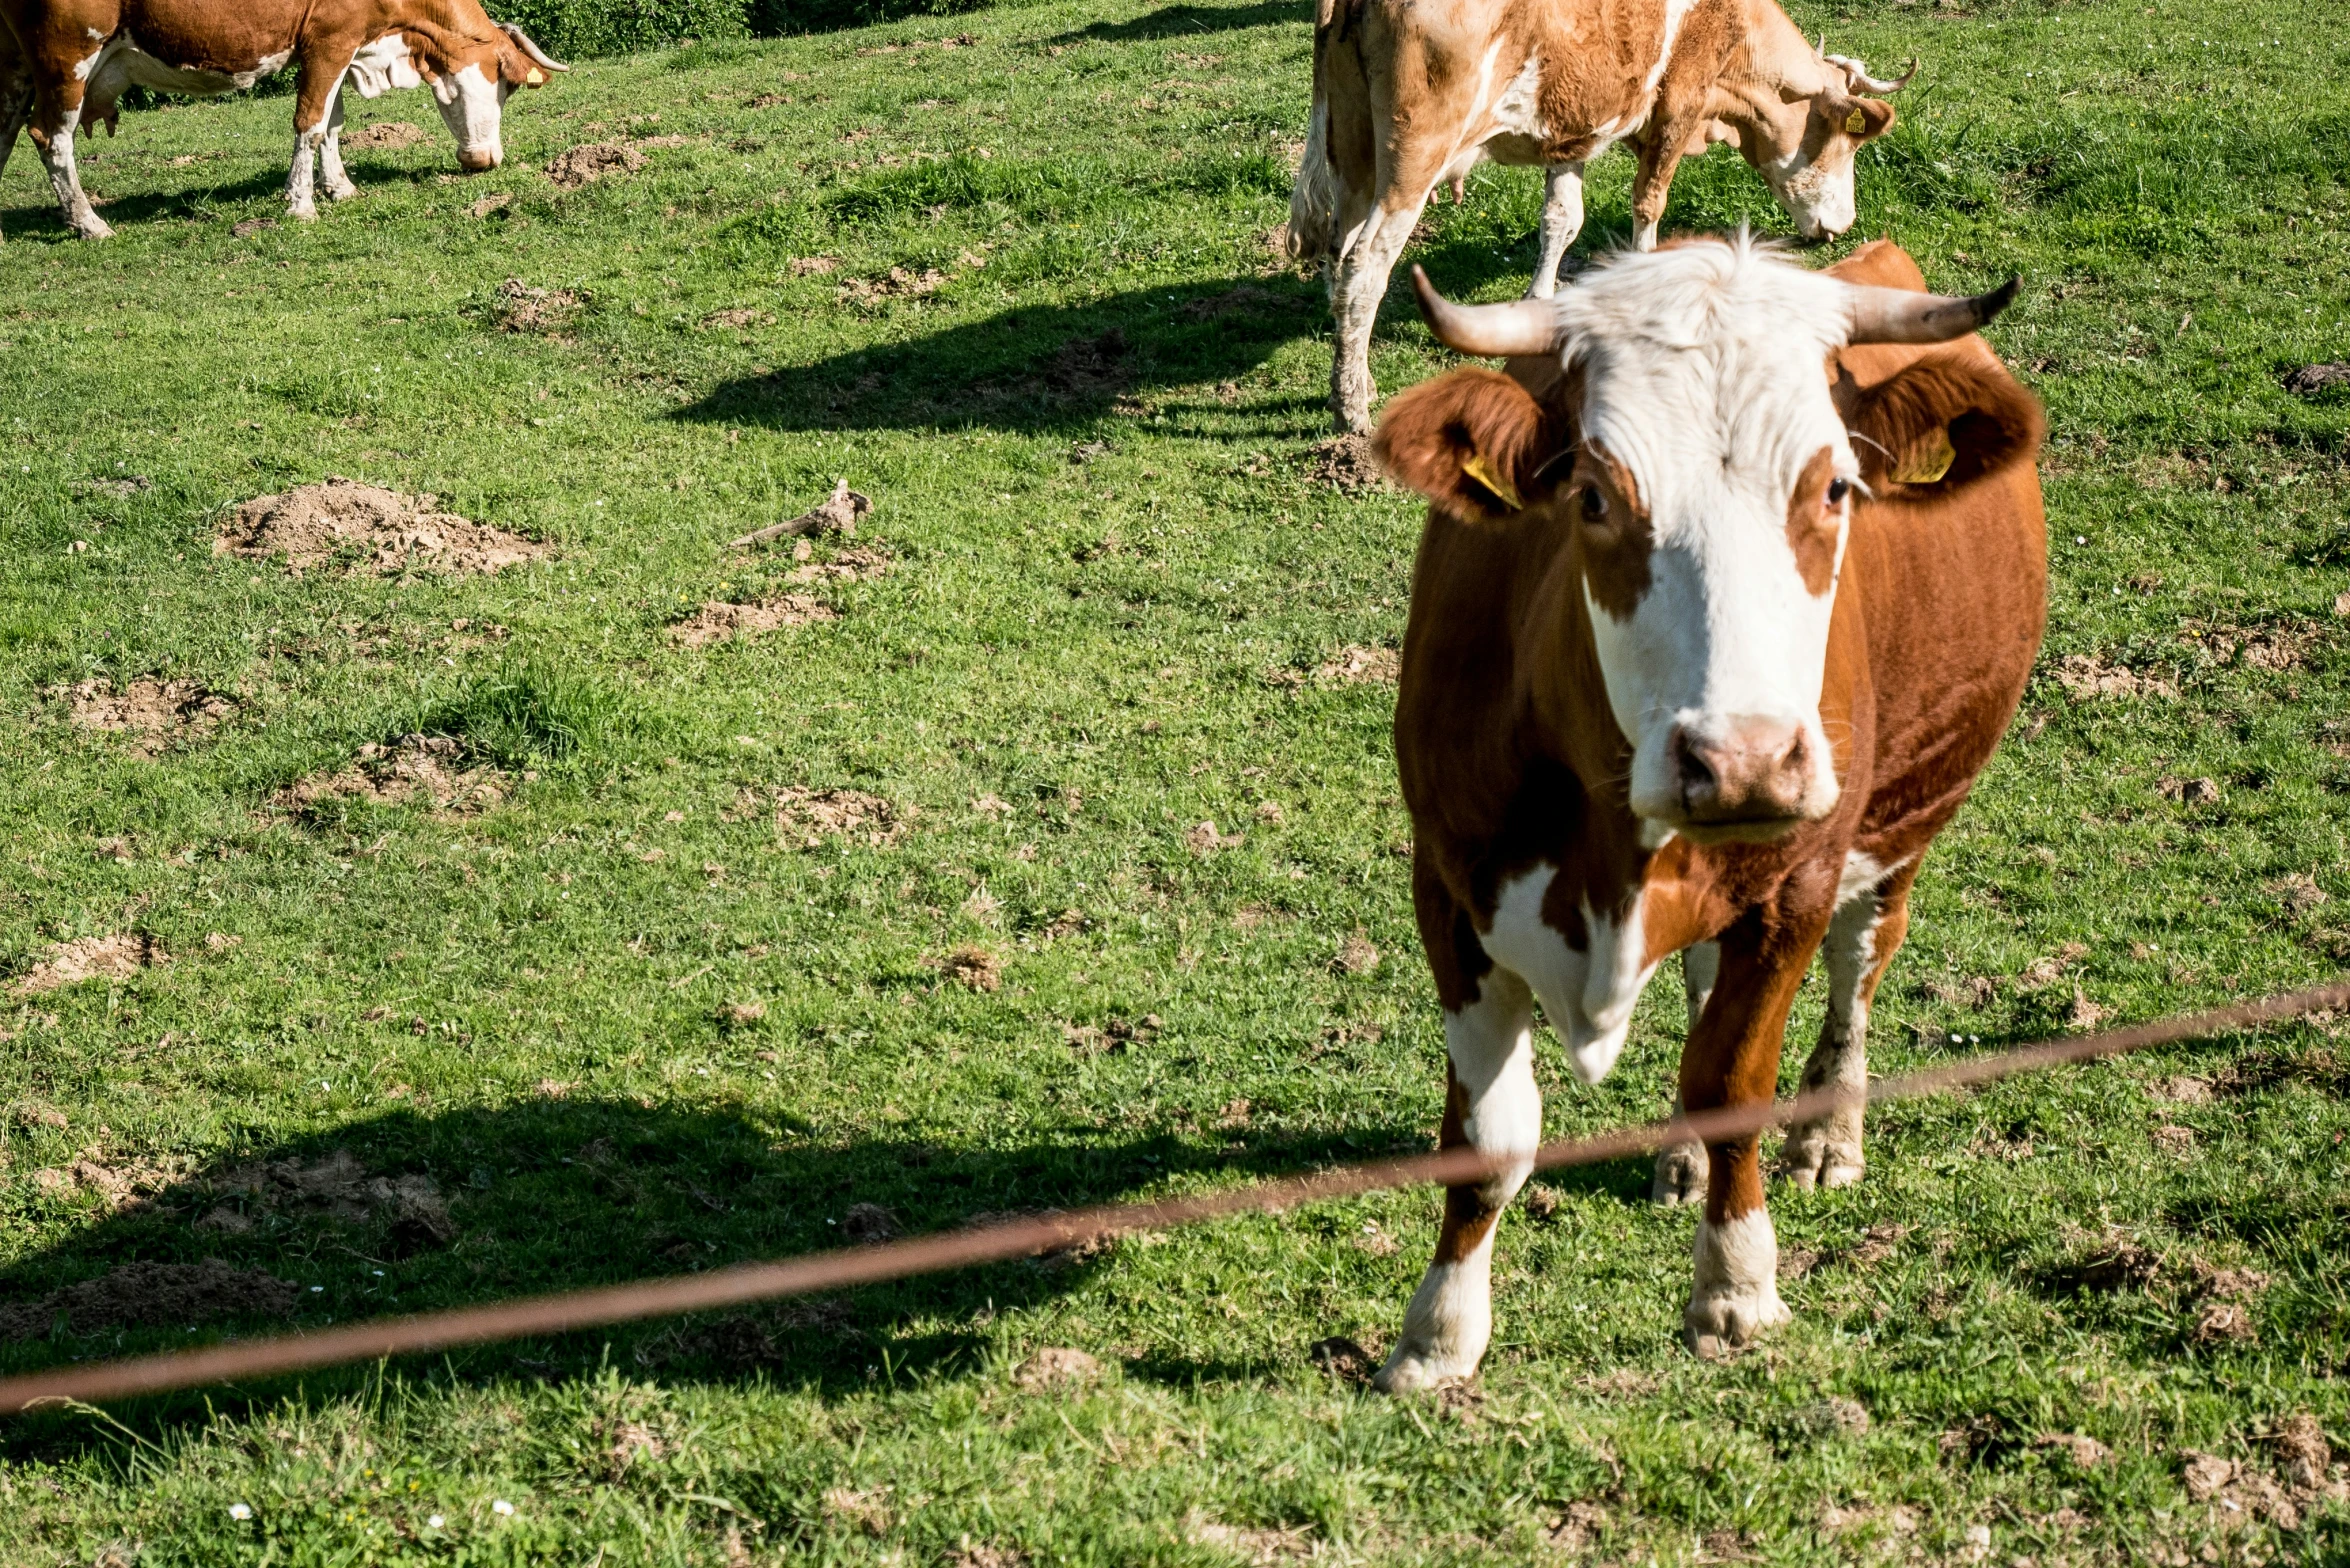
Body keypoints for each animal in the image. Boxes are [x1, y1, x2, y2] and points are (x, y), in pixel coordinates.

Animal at [0, 0, 564, 239]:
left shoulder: (343, 46)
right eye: (507, 84)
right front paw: (300, 203)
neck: (392, 46)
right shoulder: (330, 40)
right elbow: (310, 123)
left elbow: (333, 122)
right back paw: (89, 222)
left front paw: (339, 187)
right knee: (50, 137)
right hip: (66, 54)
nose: (488, 160)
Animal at [1297, 0, 1917, 432]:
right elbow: (1648, 202)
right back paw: (1351, 407)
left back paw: (1356, 379)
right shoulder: (1678, 105)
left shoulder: (1572, 132)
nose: (1844, 224)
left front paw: (1540, 304)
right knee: (1365, 266)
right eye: (1848, 143)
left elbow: (1561, 219)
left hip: (1353, 153)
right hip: (1414, 157)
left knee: (1337, 251)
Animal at [1372, 236, 2049, 1382]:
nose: (1741, 762)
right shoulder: (1448, 884)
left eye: (1835, 484)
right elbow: (1493, 1137)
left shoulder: (1796, 884)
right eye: (1593, 497)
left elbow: (1733, 1082)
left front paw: (1735, 1289)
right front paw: (1438, 1334)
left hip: (1904, 815)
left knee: (1861, 960)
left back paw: (1829, 1131)